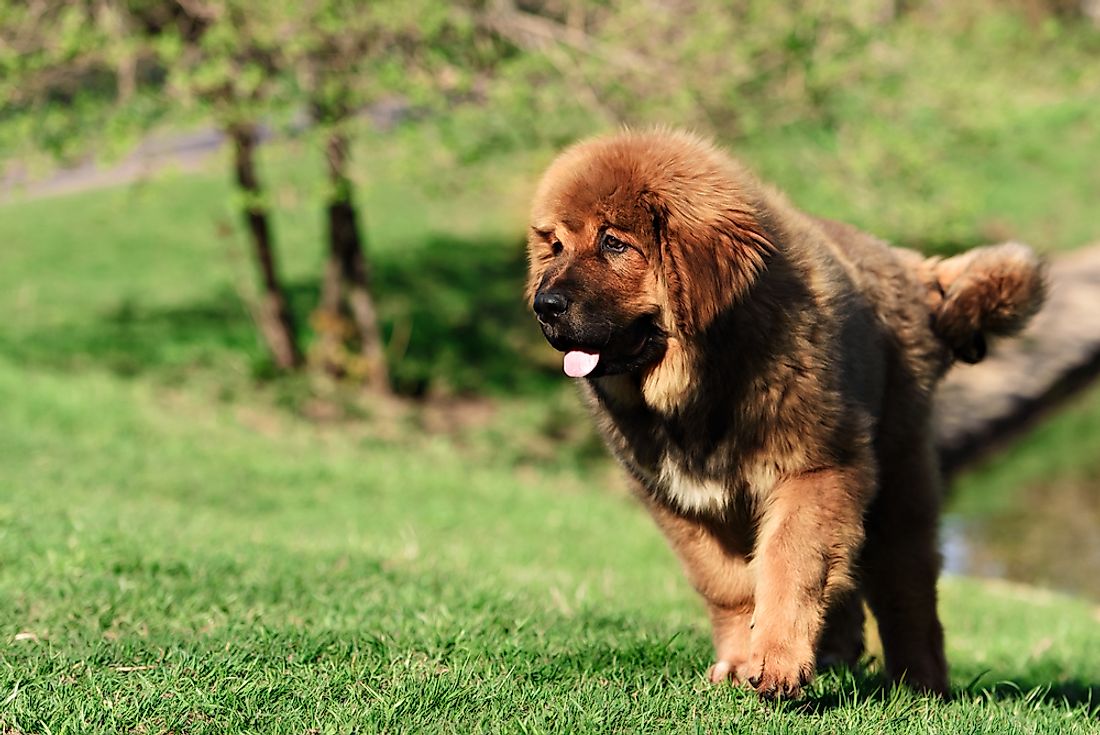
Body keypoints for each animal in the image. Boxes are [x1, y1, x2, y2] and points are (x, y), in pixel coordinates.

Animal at [528, 129, 1042, 699]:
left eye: (614, 243)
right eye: (556, 246)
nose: (543, 304)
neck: (707, 381)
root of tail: (906, 264)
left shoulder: (816, 470)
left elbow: (789, 564)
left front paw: (776, 664)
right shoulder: (681, 501)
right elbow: (729, 583)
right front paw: (737, 662)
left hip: (899, 482)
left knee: (907, 589)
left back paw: (920, 684)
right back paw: (839, 653)